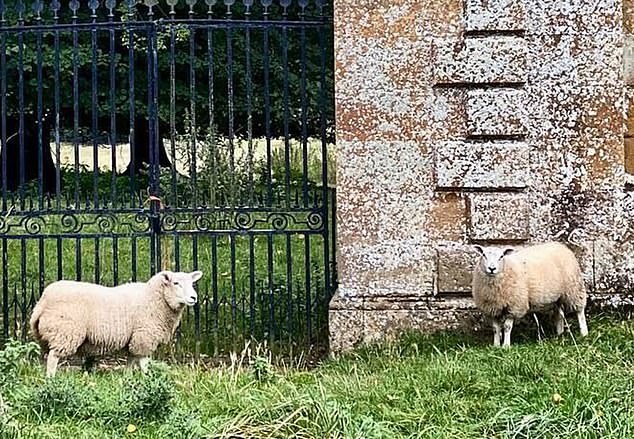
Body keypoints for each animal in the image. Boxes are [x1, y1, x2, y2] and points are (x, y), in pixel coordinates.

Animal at [29, 270, 202, 376]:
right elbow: (144, 362)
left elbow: (131, 361)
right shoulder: (144, 336)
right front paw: (149, 379)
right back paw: (51, 379)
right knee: (53, 358)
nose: (194, 298)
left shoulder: (134, 339)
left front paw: (128, 378)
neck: (155, 298)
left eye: (192, 283)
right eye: (176, 283)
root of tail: (43, 300)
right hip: (65, 332)